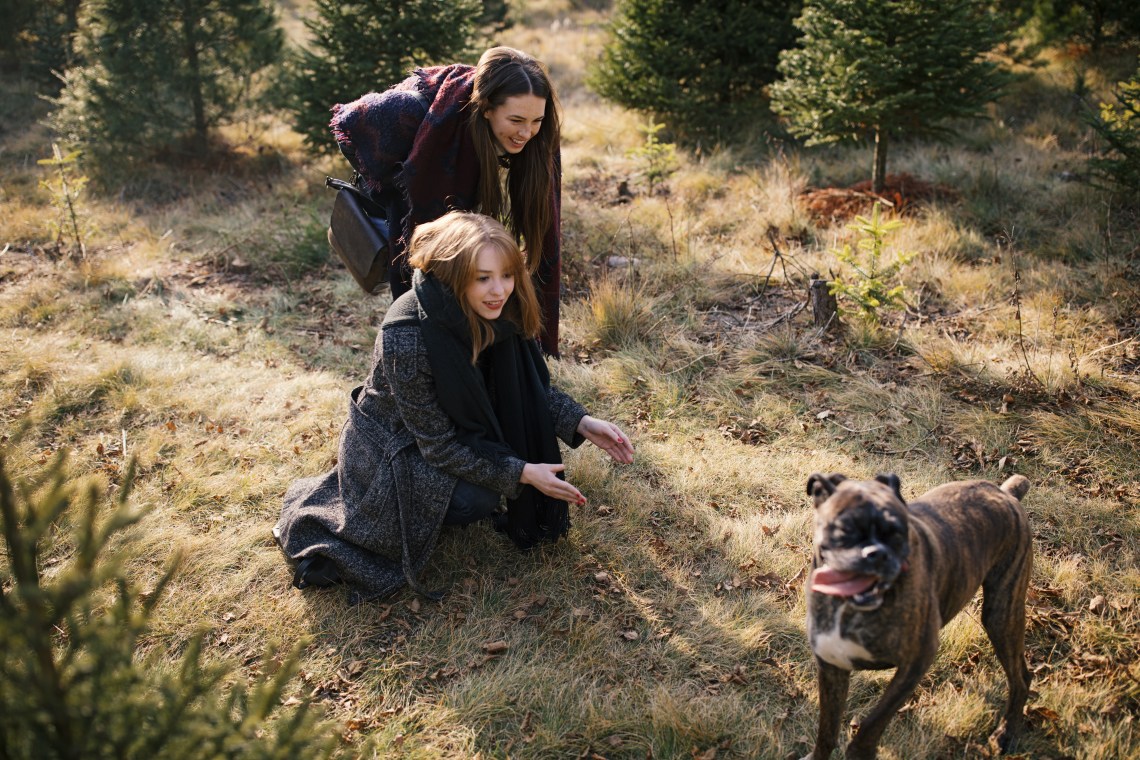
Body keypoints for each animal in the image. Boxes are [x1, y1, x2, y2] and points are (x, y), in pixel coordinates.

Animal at [802, 471, 1035, 756]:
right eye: (846, 529)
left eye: (898, 533)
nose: (877, 553)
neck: (849, 609)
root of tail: (1005, 494)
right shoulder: (831, 667)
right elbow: (827, 730)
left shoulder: (914, 665)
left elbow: (871, 726)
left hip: (1000, 617)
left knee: (1021, 678)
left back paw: (1007, 732)